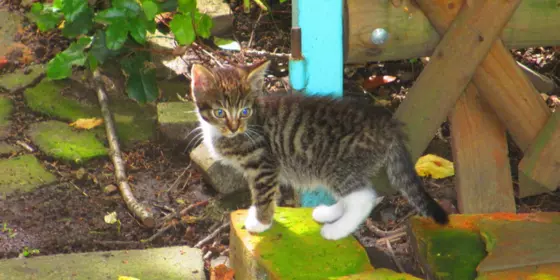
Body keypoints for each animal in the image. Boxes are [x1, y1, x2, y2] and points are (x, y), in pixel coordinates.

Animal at [190, 60, 448, 240]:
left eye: (244, 111)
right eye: (220, 112)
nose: (234, 127)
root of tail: (387, 125)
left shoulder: (264, 164)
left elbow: (264, 194)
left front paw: (261, 222)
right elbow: (265, 194)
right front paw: (259, 215)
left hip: (336, 166)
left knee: (364, 197)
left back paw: (336, 230)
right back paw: (329, 213)